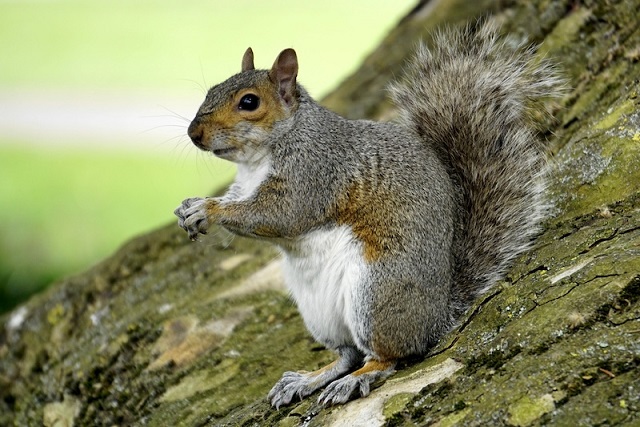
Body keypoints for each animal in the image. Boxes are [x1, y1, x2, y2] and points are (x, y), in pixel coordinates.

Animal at [172, 20, 564, 408]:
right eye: (212, 90)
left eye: (249, 102)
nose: (194, 133)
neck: (260, 156)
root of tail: (437, 316)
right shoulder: (246, 185)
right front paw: (189, 207)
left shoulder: (314, 174)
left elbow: (279, 215)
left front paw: (208, 210)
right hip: (321, 314)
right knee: (348, 354)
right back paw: (309, 379)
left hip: (376, 293)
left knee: (388, 356)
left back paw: (356, 379)